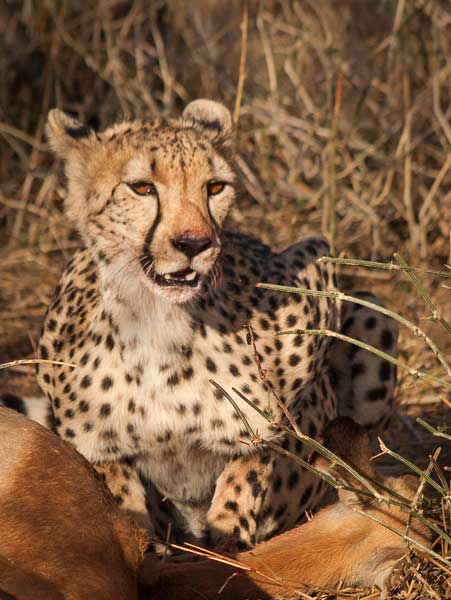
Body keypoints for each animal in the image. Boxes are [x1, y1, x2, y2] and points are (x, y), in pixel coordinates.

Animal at [3, 101, 400, 552]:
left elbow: (252, 462)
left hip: (372, 316)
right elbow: (117, 493)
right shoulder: (91, 440)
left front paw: (230, 537)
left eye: (214, 187)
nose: (195, 243)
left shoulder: (313, 270)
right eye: (142, 188)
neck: (156, 324)